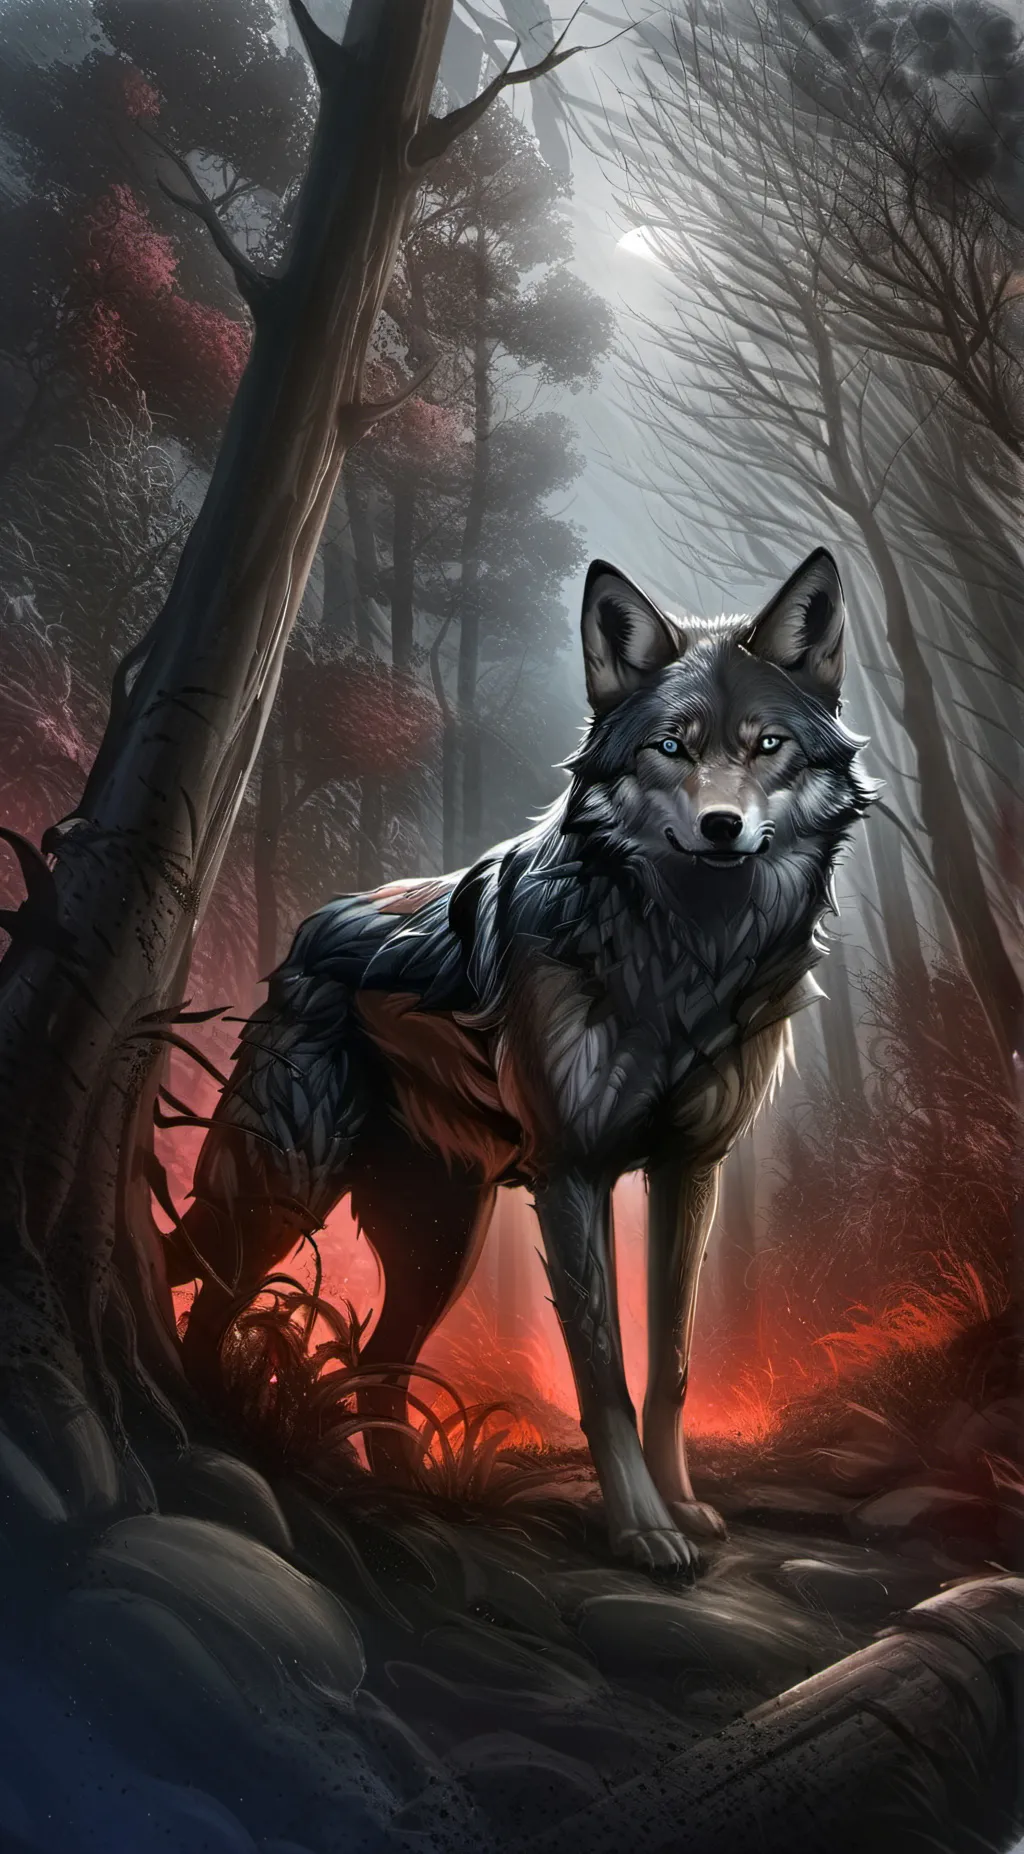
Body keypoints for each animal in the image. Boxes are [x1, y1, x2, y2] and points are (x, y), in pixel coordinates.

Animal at [169, 548, 874, 1571]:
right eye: (670, 747)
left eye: (768, 744)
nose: (721, 827)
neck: (684, 954)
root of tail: (308, 929)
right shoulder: (573, 1175)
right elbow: (604, 1373)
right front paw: (641, 1530)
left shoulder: (689, 1170)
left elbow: (670, 1363)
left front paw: (682, 1506)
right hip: (286, 1192)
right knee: (217, 1301)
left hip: (438, 1240)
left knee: (379, 1362)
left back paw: (409, 1496)